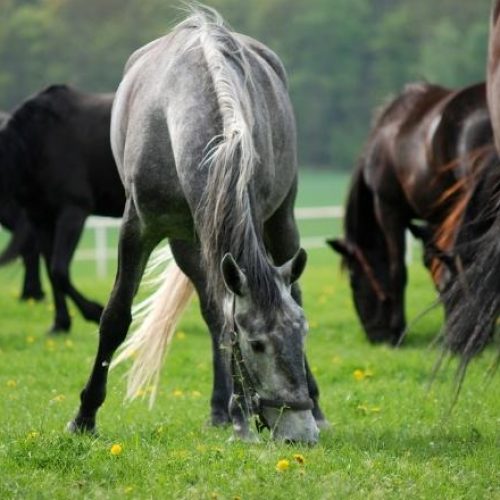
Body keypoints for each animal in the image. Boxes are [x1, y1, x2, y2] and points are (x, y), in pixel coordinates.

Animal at [0, 85, 125, 332]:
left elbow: (59, 270)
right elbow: (51, 270)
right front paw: (60, 323)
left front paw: (94, 311)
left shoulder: (72, 213)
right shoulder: (40, 219)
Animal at [69, 5, 324, 444]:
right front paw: (84, 416)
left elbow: (232, 317)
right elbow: (116, 317)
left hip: (281, 220)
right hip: (187, 243)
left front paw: (243, 416)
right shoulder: (139, 228)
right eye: (256, 344)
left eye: (302, 335)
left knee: (289, 288)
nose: (299, 434)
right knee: (211, 312)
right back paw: (222, 409)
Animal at [328, 82, 492, 346]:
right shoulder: (438, 218)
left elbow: (399, 270)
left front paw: (399, 330)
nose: (375, 336)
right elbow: (437, 263)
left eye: (353, 279)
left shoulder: (388, 209)